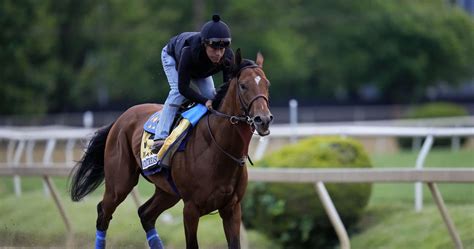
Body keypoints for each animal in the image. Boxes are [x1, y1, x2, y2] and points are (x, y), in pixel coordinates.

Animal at [68, 49, 272, 249]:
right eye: (243, 86)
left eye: (267, 84)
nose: (263, 119)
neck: (219, 149)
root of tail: (120, 119)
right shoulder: (191, 208)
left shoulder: (232, 207)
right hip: (119, 184)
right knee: (103, 212)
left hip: (167, 192)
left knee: (145, 214)